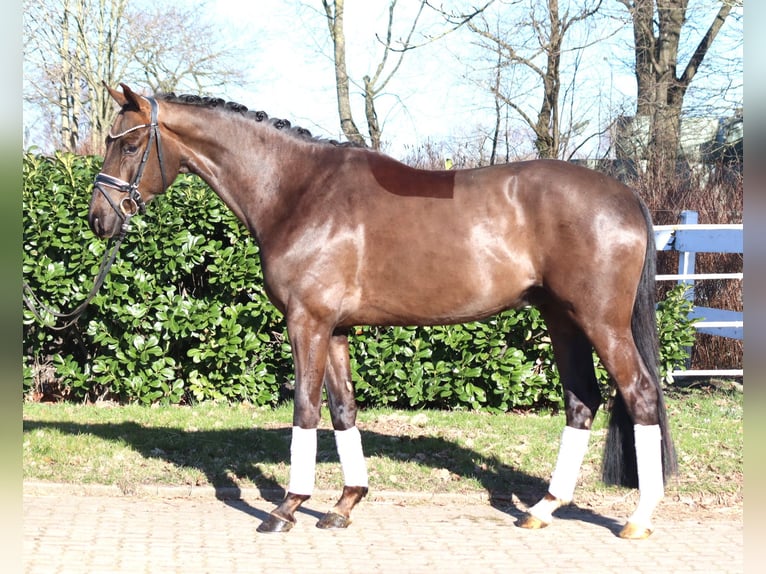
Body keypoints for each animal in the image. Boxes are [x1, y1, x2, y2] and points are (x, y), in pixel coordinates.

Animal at [89, 84, 676, 540]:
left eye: (132, 143)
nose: (99, 218)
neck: (298, 191)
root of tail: (626, 196)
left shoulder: (307, 322)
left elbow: (306, 410)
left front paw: (287, 508)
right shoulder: (336, 329)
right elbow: (344, 410)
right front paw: (345, 504)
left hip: (600, 321)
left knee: (640, 395)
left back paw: (639, 518)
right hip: (563, 320)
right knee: (582, 402)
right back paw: (542, 509)